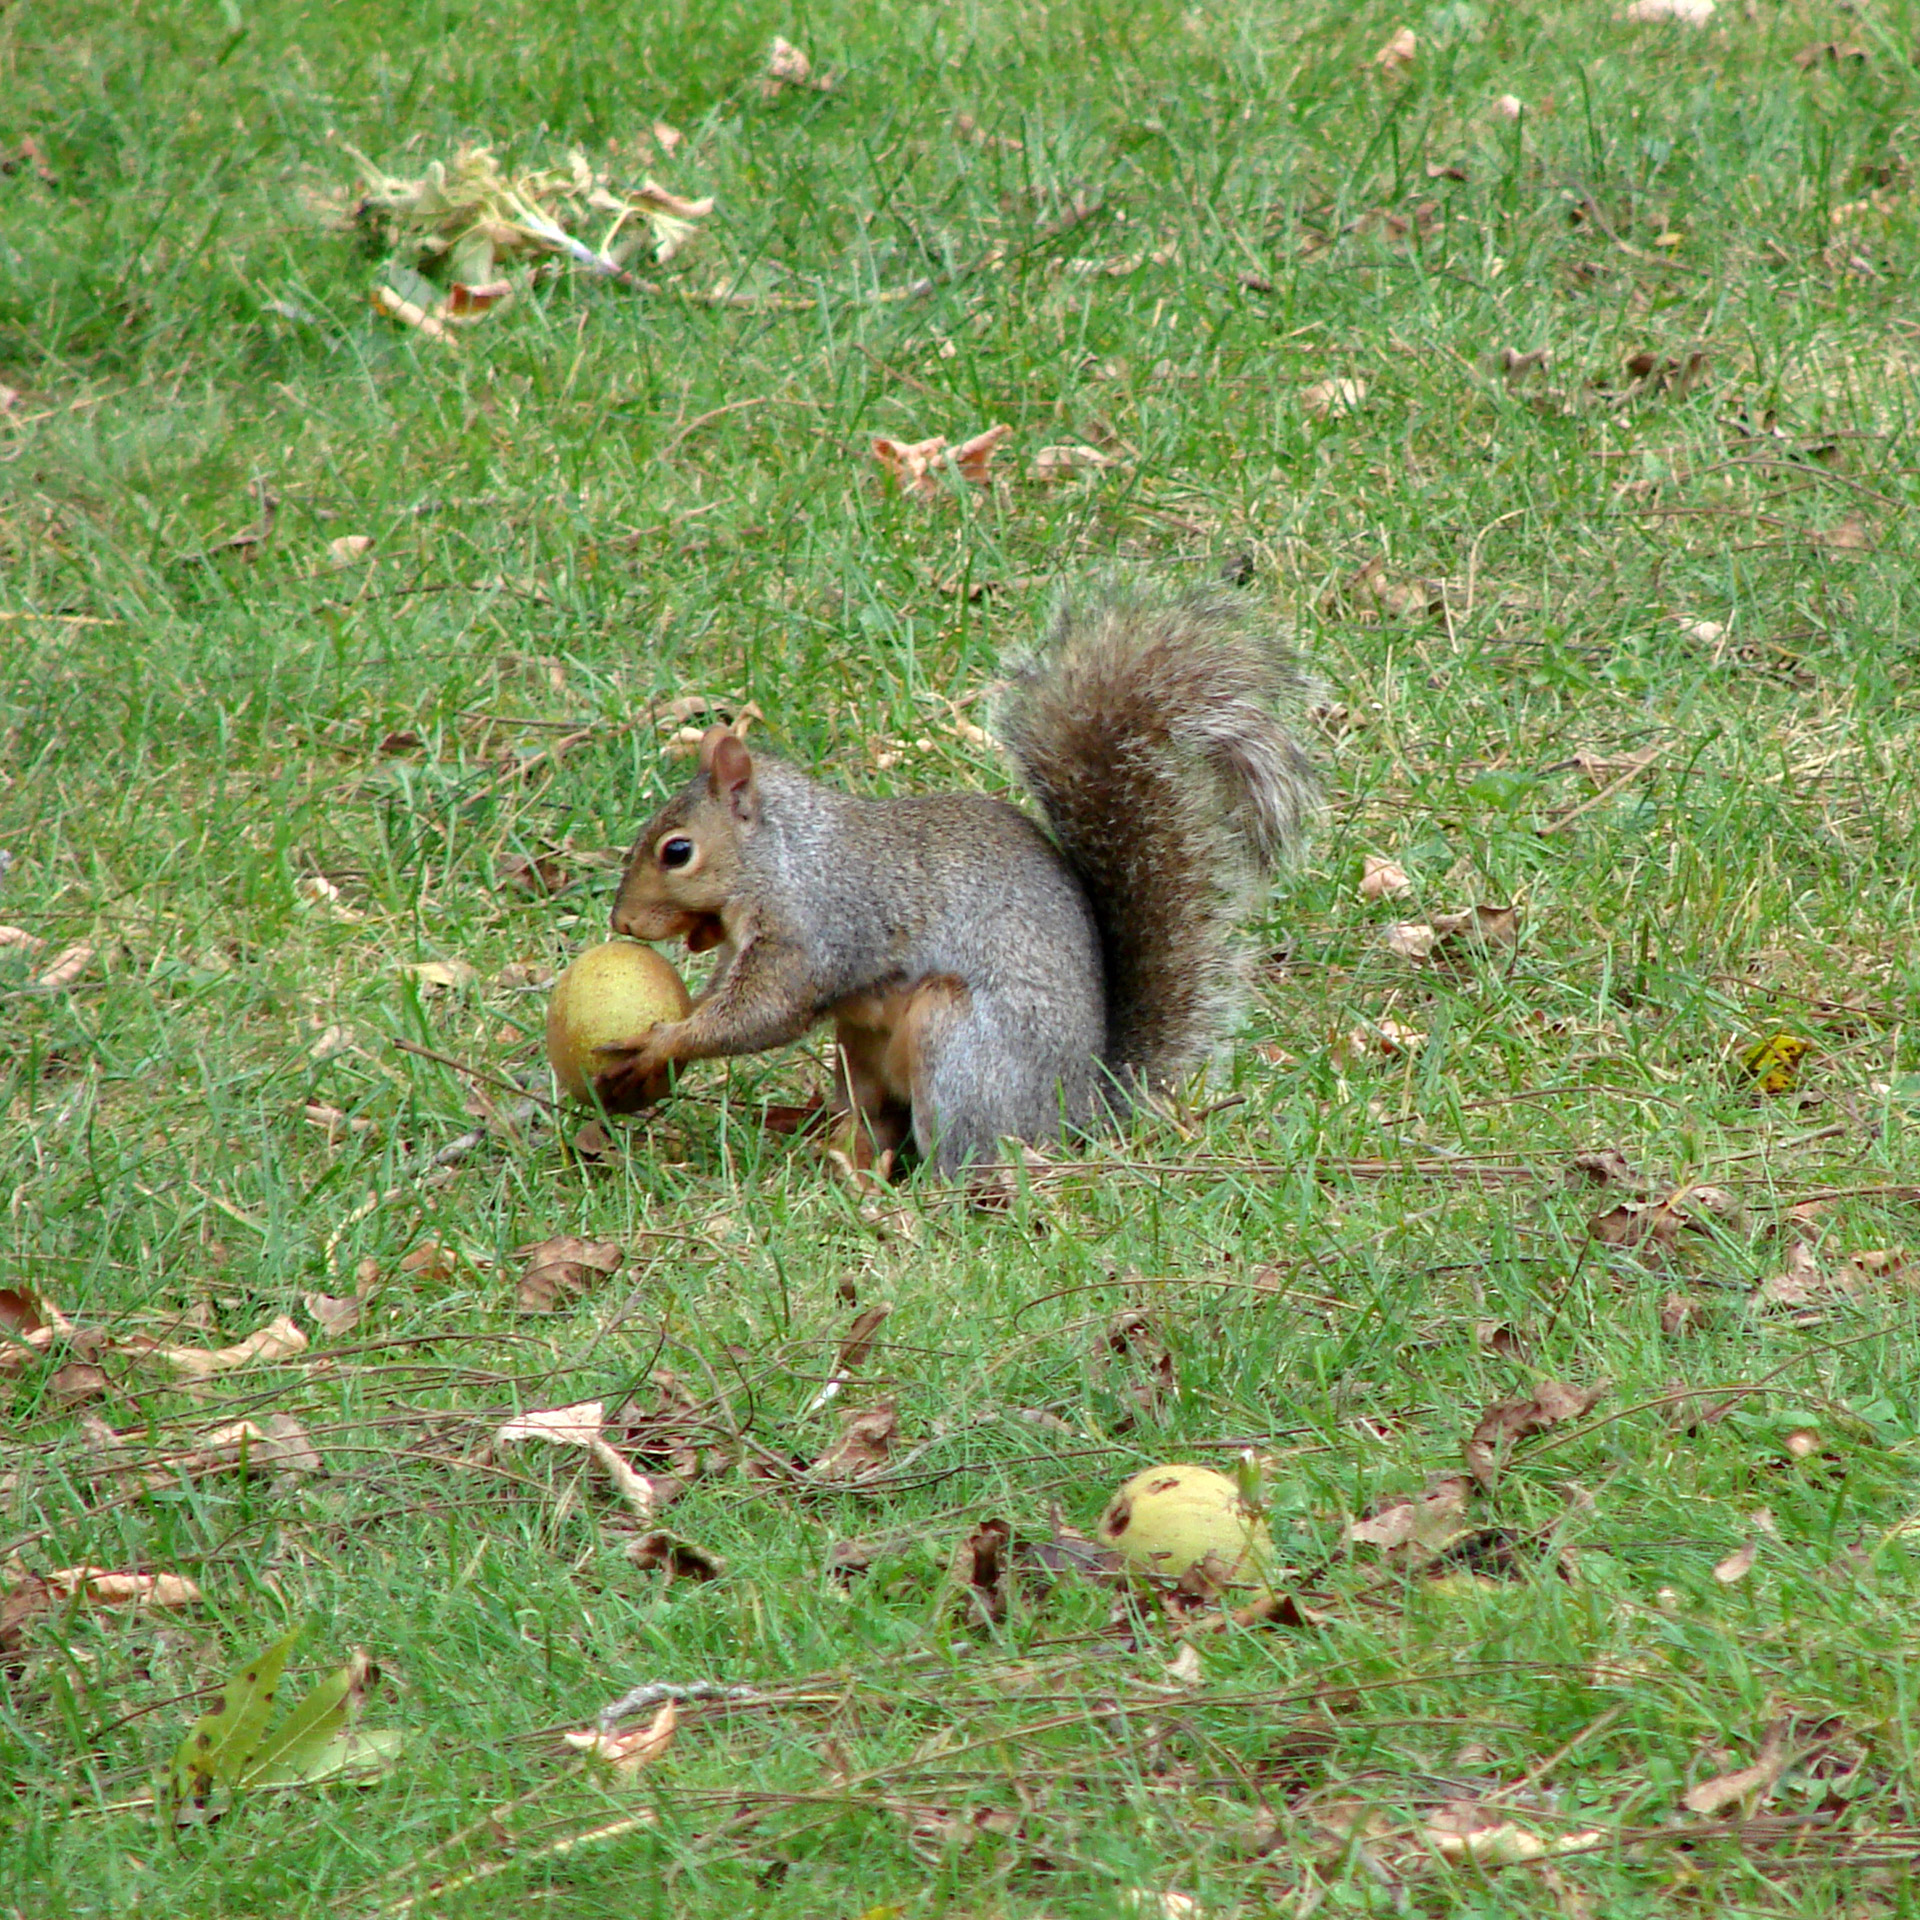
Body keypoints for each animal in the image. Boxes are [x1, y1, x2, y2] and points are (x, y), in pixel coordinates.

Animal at [595, 576, 1320, 1167]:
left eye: (677, 852)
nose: (621, 921)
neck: (786, 856)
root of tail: (1077, 1113)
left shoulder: (816, 927)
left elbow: (763, 1014)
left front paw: (660, 1042)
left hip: (956, 1046)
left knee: (961, 1156)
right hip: (862, 1047)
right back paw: (845, 1162)